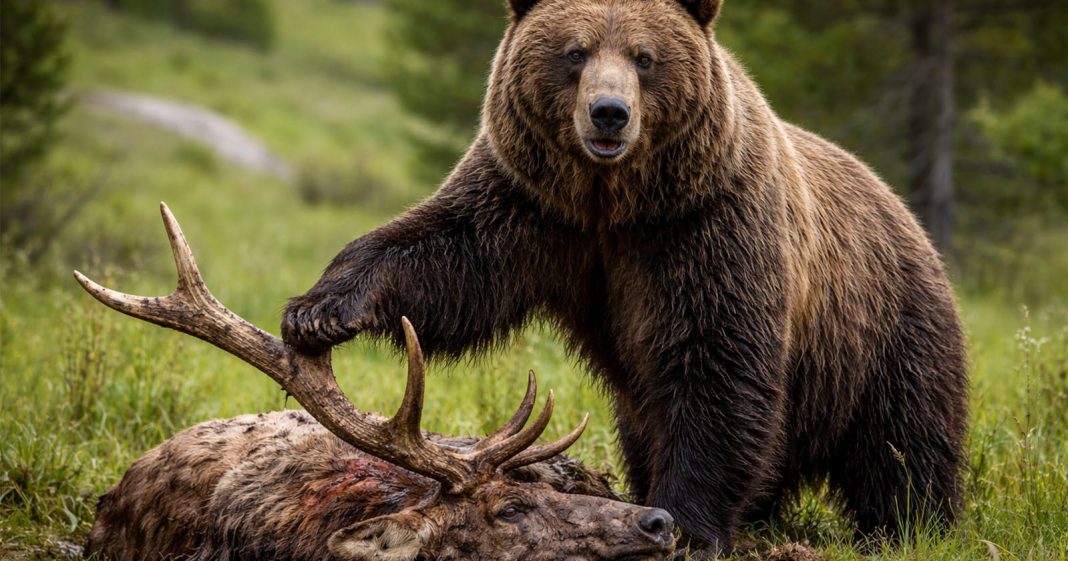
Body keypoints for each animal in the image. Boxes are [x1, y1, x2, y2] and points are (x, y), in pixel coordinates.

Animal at [282, 0, 969, 557]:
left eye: (645, 57)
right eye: (574, 52)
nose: (608, 113)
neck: (614, 202)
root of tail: (904, 212)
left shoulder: (706, 228)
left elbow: (714, 364)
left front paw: (688, 525)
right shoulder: (529, 205)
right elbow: (444, 258)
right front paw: (317, 311)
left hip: (883, 335)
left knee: (903, 450)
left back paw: (910, 528)